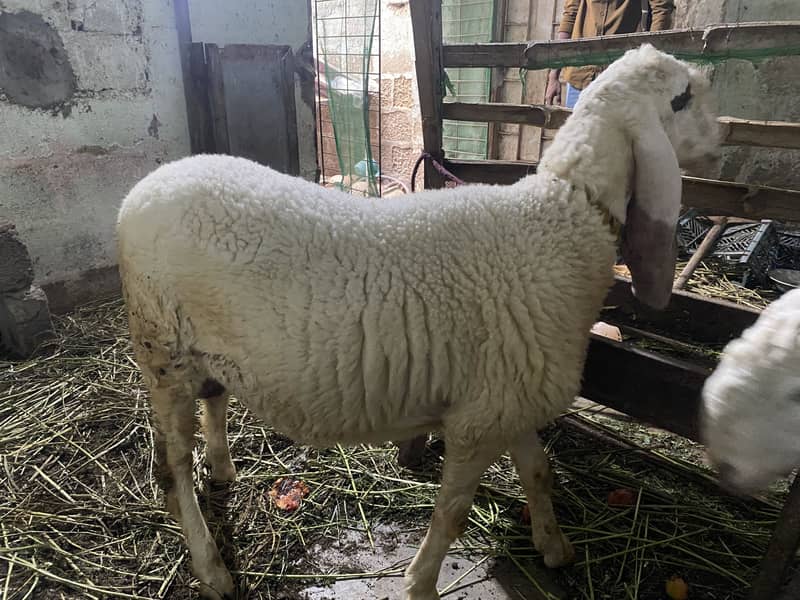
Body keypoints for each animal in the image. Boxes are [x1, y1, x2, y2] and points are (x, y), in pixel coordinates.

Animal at [116, 44, 720, 600]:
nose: (724, 142)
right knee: (171, 469)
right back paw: (211, 567)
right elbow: (452, 514)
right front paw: (421, 583)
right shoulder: (479, 421)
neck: (566, 213)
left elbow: (539, 472)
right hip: (160, 349)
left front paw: (554, 547)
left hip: (203, 347)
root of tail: (144, 188)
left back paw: (222, 470)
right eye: (681, 99)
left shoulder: (509, 397)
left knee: (215, 398)